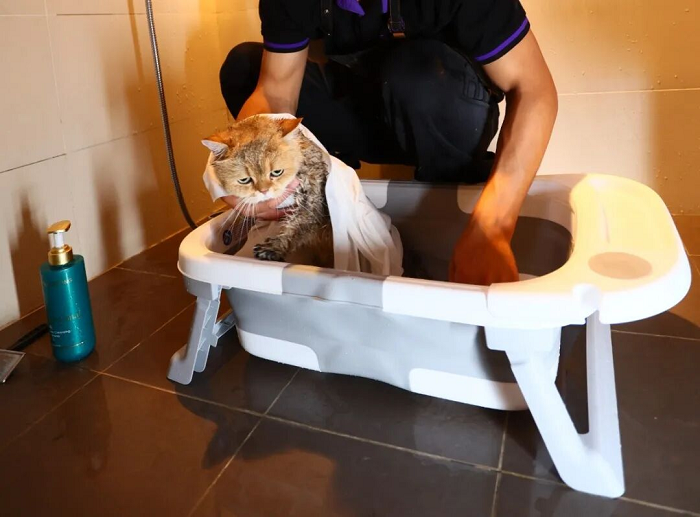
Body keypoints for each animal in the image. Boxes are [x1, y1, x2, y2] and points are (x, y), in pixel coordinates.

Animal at [202, 116, 333, 266]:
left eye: (276, 172)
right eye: (245, 180)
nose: (264, 191)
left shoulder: (314, 200)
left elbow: (297, 226)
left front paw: (274, 247)